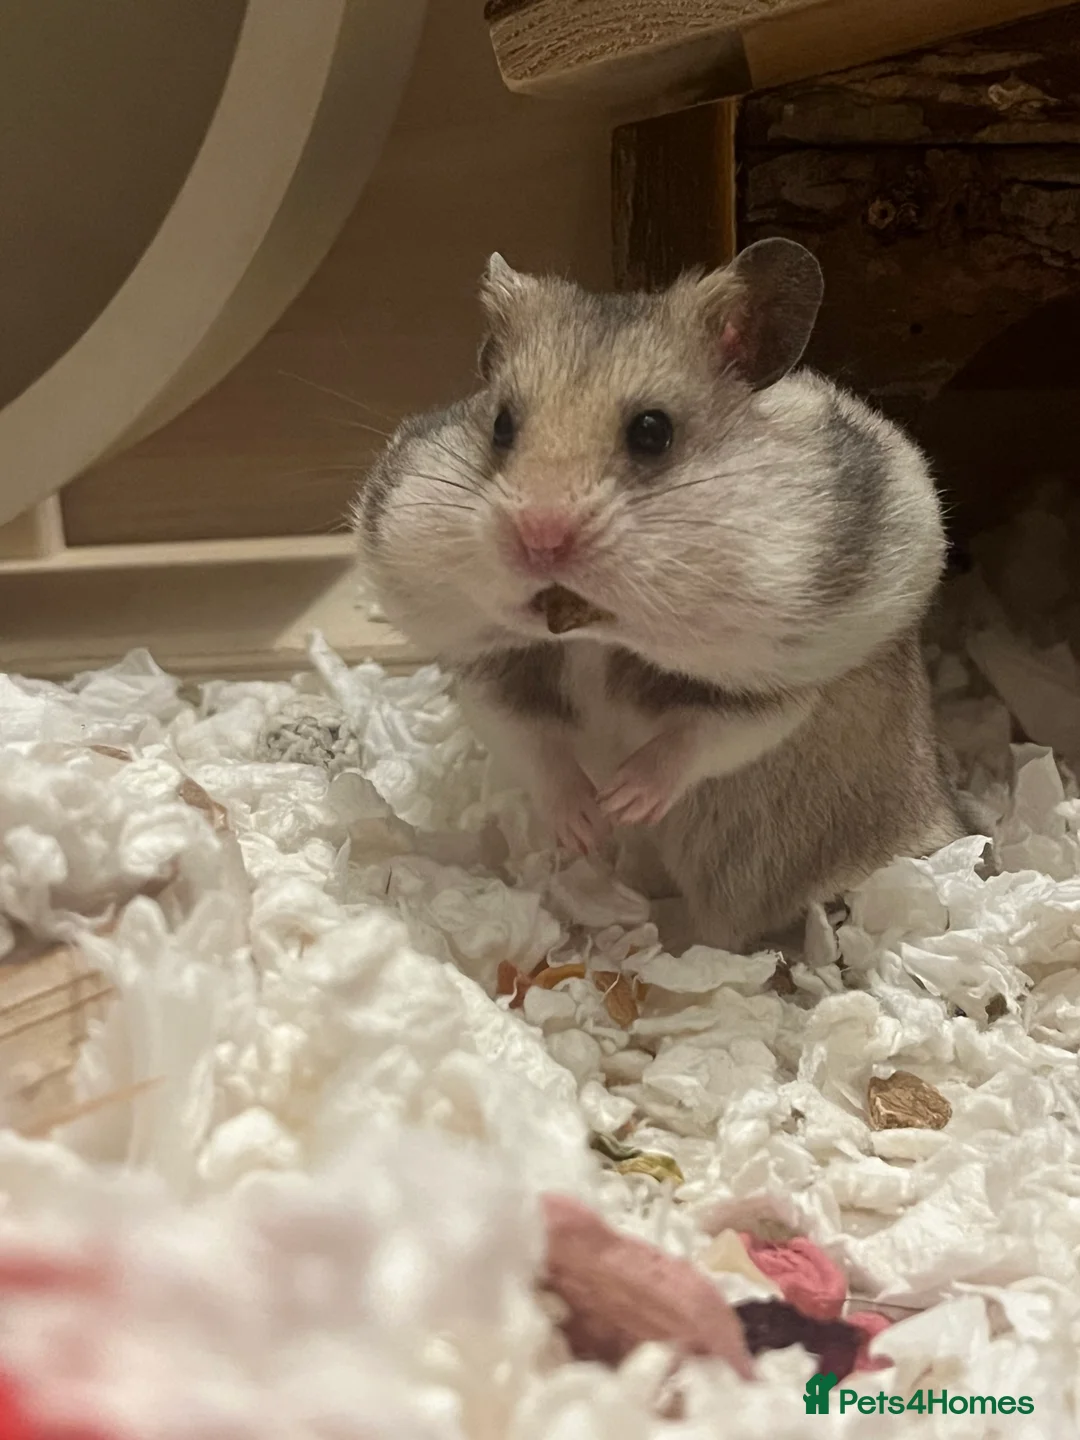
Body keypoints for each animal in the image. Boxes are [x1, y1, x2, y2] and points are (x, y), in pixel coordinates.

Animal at [355, 241, 966, 952]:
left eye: (653, 431)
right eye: (501, 425)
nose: (539, 539)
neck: (595, 637)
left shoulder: (777, 684)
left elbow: (699, 737)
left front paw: (626, 799)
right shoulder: (490, 673)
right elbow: (533, 747)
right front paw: (587, 825)